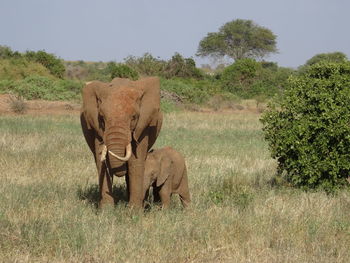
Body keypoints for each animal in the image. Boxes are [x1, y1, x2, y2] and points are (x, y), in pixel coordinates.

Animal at [81, 77, 163, 209]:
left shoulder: (143, 125)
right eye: (102, 117)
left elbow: (136, 161)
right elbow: (101, 161)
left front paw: (134, 211)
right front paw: (107, 211)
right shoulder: (96, 127)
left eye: (134, 117)